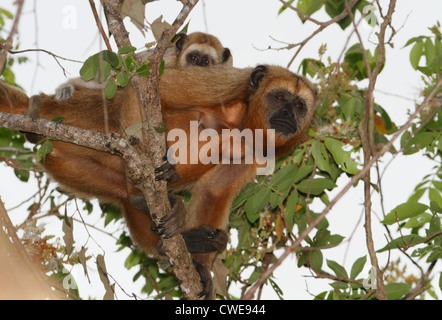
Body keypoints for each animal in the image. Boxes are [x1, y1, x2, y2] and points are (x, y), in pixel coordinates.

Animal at [0, 63, 318, 298]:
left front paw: (202, 268)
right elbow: (141, 86)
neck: (244, 122)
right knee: (116, 109)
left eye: (300, 105)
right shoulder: (228, 82)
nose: (289, 114)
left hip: (63, 159)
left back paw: (183, 241)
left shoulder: (260, 151)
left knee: (121, 195)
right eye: (279, 97)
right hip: (72, 121)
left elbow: (214, 191)